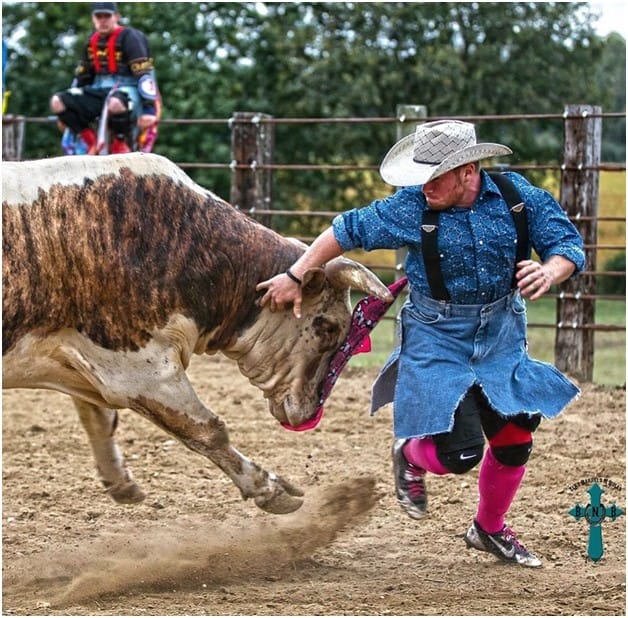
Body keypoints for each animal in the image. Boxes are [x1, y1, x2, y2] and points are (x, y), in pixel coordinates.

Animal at [2, 152, 390, 512]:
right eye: (328, 326)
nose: (309, 412)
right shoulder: (139, 370)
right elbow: (207, 430)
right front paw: (271, 490)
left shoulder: (76, 358)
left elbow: (98, 418)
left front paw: (121, 483)